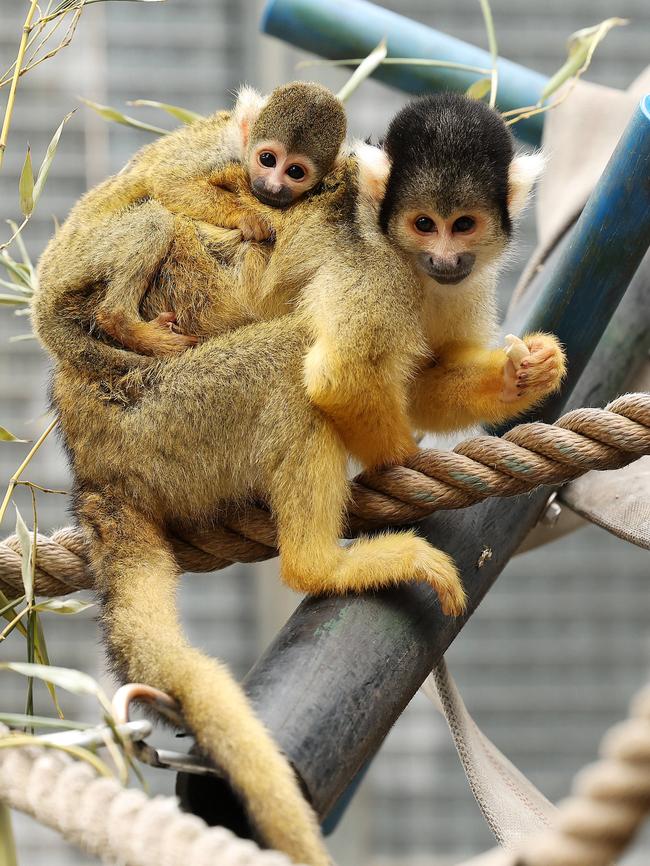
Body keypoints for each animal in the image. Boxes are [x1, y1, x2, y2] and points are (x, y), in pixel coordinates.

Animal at [31, 83, 344, 372]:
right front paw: (246, 217)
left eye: (295, 172)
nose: (273, 186)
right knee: (154, 222)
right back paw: (121, 320)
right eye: (267, 159)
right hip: (79, 256)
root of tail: (41, 296)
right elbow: (168, 181)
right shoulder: (219, 153)